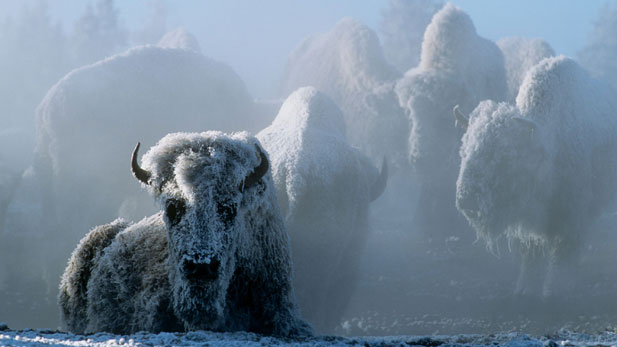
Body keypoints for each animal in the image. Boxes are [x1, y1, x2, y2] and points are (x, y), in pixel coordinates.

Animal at [452, 56, 616, 296]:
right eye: (464, 149)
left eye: (504, 156)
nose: (467, 201)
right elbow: (532, 254)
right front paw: (525, 289)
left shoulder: (571, 218)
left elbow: (562, 254)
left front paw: (555, 290)